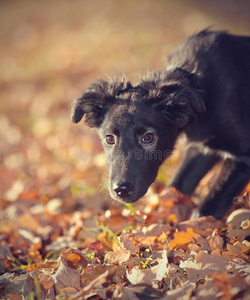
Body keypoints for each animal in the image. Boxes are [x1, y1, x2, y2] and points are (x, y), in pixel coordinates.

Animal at [72, 29, 250, 218]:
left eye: (148, 138)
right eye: (109, 139)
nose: (121, 190)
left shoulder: (243, 157)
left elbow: (208, 207)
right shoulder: (200, 149)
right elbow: (177, 184)